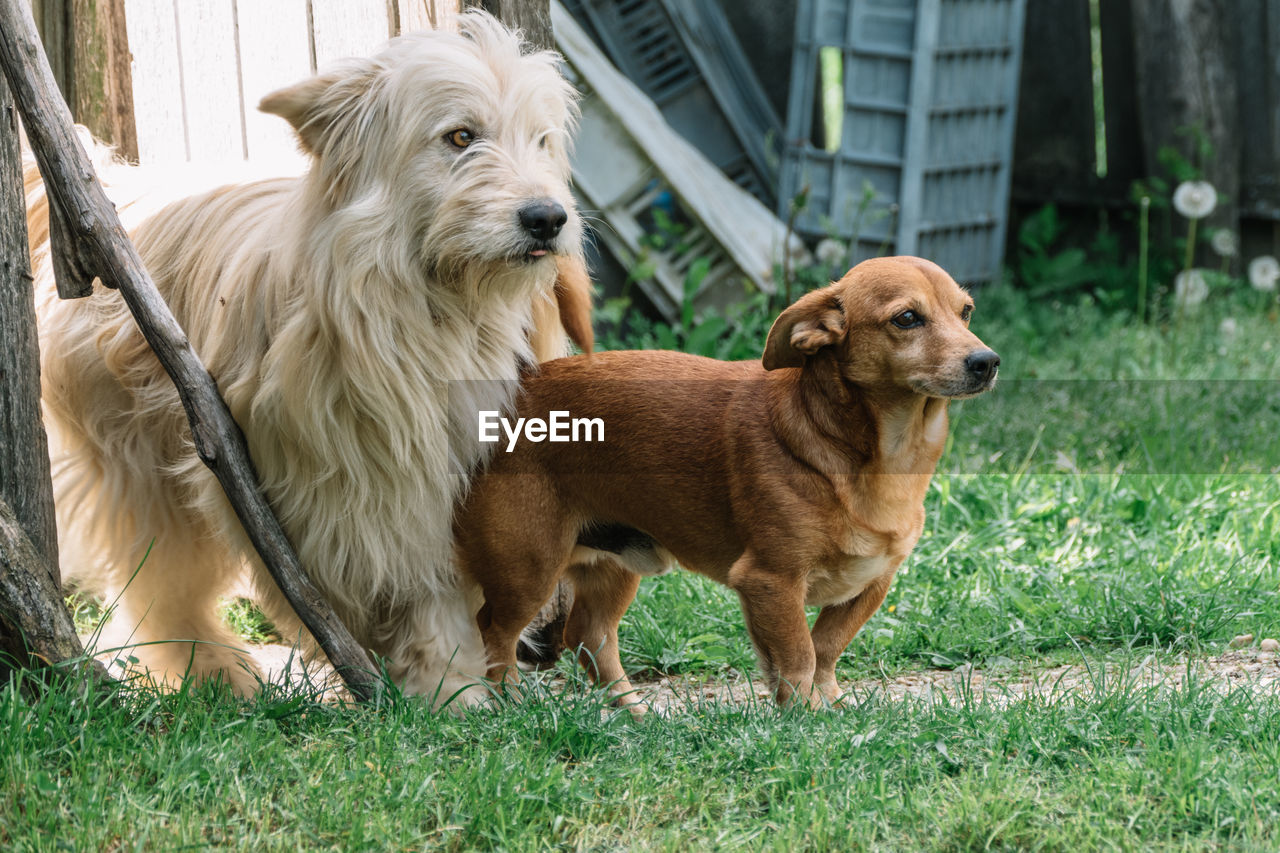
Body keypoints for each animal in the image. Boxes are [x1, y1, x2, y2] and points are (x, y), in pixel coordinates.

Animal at [26, 13, 593, 701]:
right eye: (461, 136)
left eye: (541, 141)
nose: (549, 218)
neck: (430, 309)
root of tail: (112, 190)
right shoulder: (306, 483)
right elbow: (343, 575)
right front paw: (406, 674)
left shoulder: (449, 479)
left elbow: (437, 584)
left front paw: (446, 683)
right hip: (143, 462)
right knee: (162, 578)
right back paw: (212, 671)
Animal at [453, 256, 998, 706]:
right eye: (907, 318)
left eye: (967, 311)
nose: (987, 362)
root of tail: (518, 390)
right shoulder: (770, 582)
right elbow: (798, 657)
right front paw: (806, 721)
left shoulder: (871, 583)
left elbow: (824, 649)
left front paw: (828, 708)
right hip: (528, 570)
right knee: (495, 635)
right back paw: (511, 707)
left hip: (614, 565)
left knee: (588, 638)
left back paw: (634, 715)